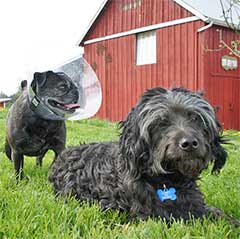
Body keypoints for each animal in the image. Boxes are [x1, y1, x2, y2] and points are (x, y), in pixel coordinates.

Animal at [50, 87, 231, 222]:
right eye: (161, 122)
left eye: (195, 118)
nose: (189, 143)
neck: (169, 179)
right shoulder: (154, 215)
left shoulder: (196, 204)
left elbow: (216, 212)